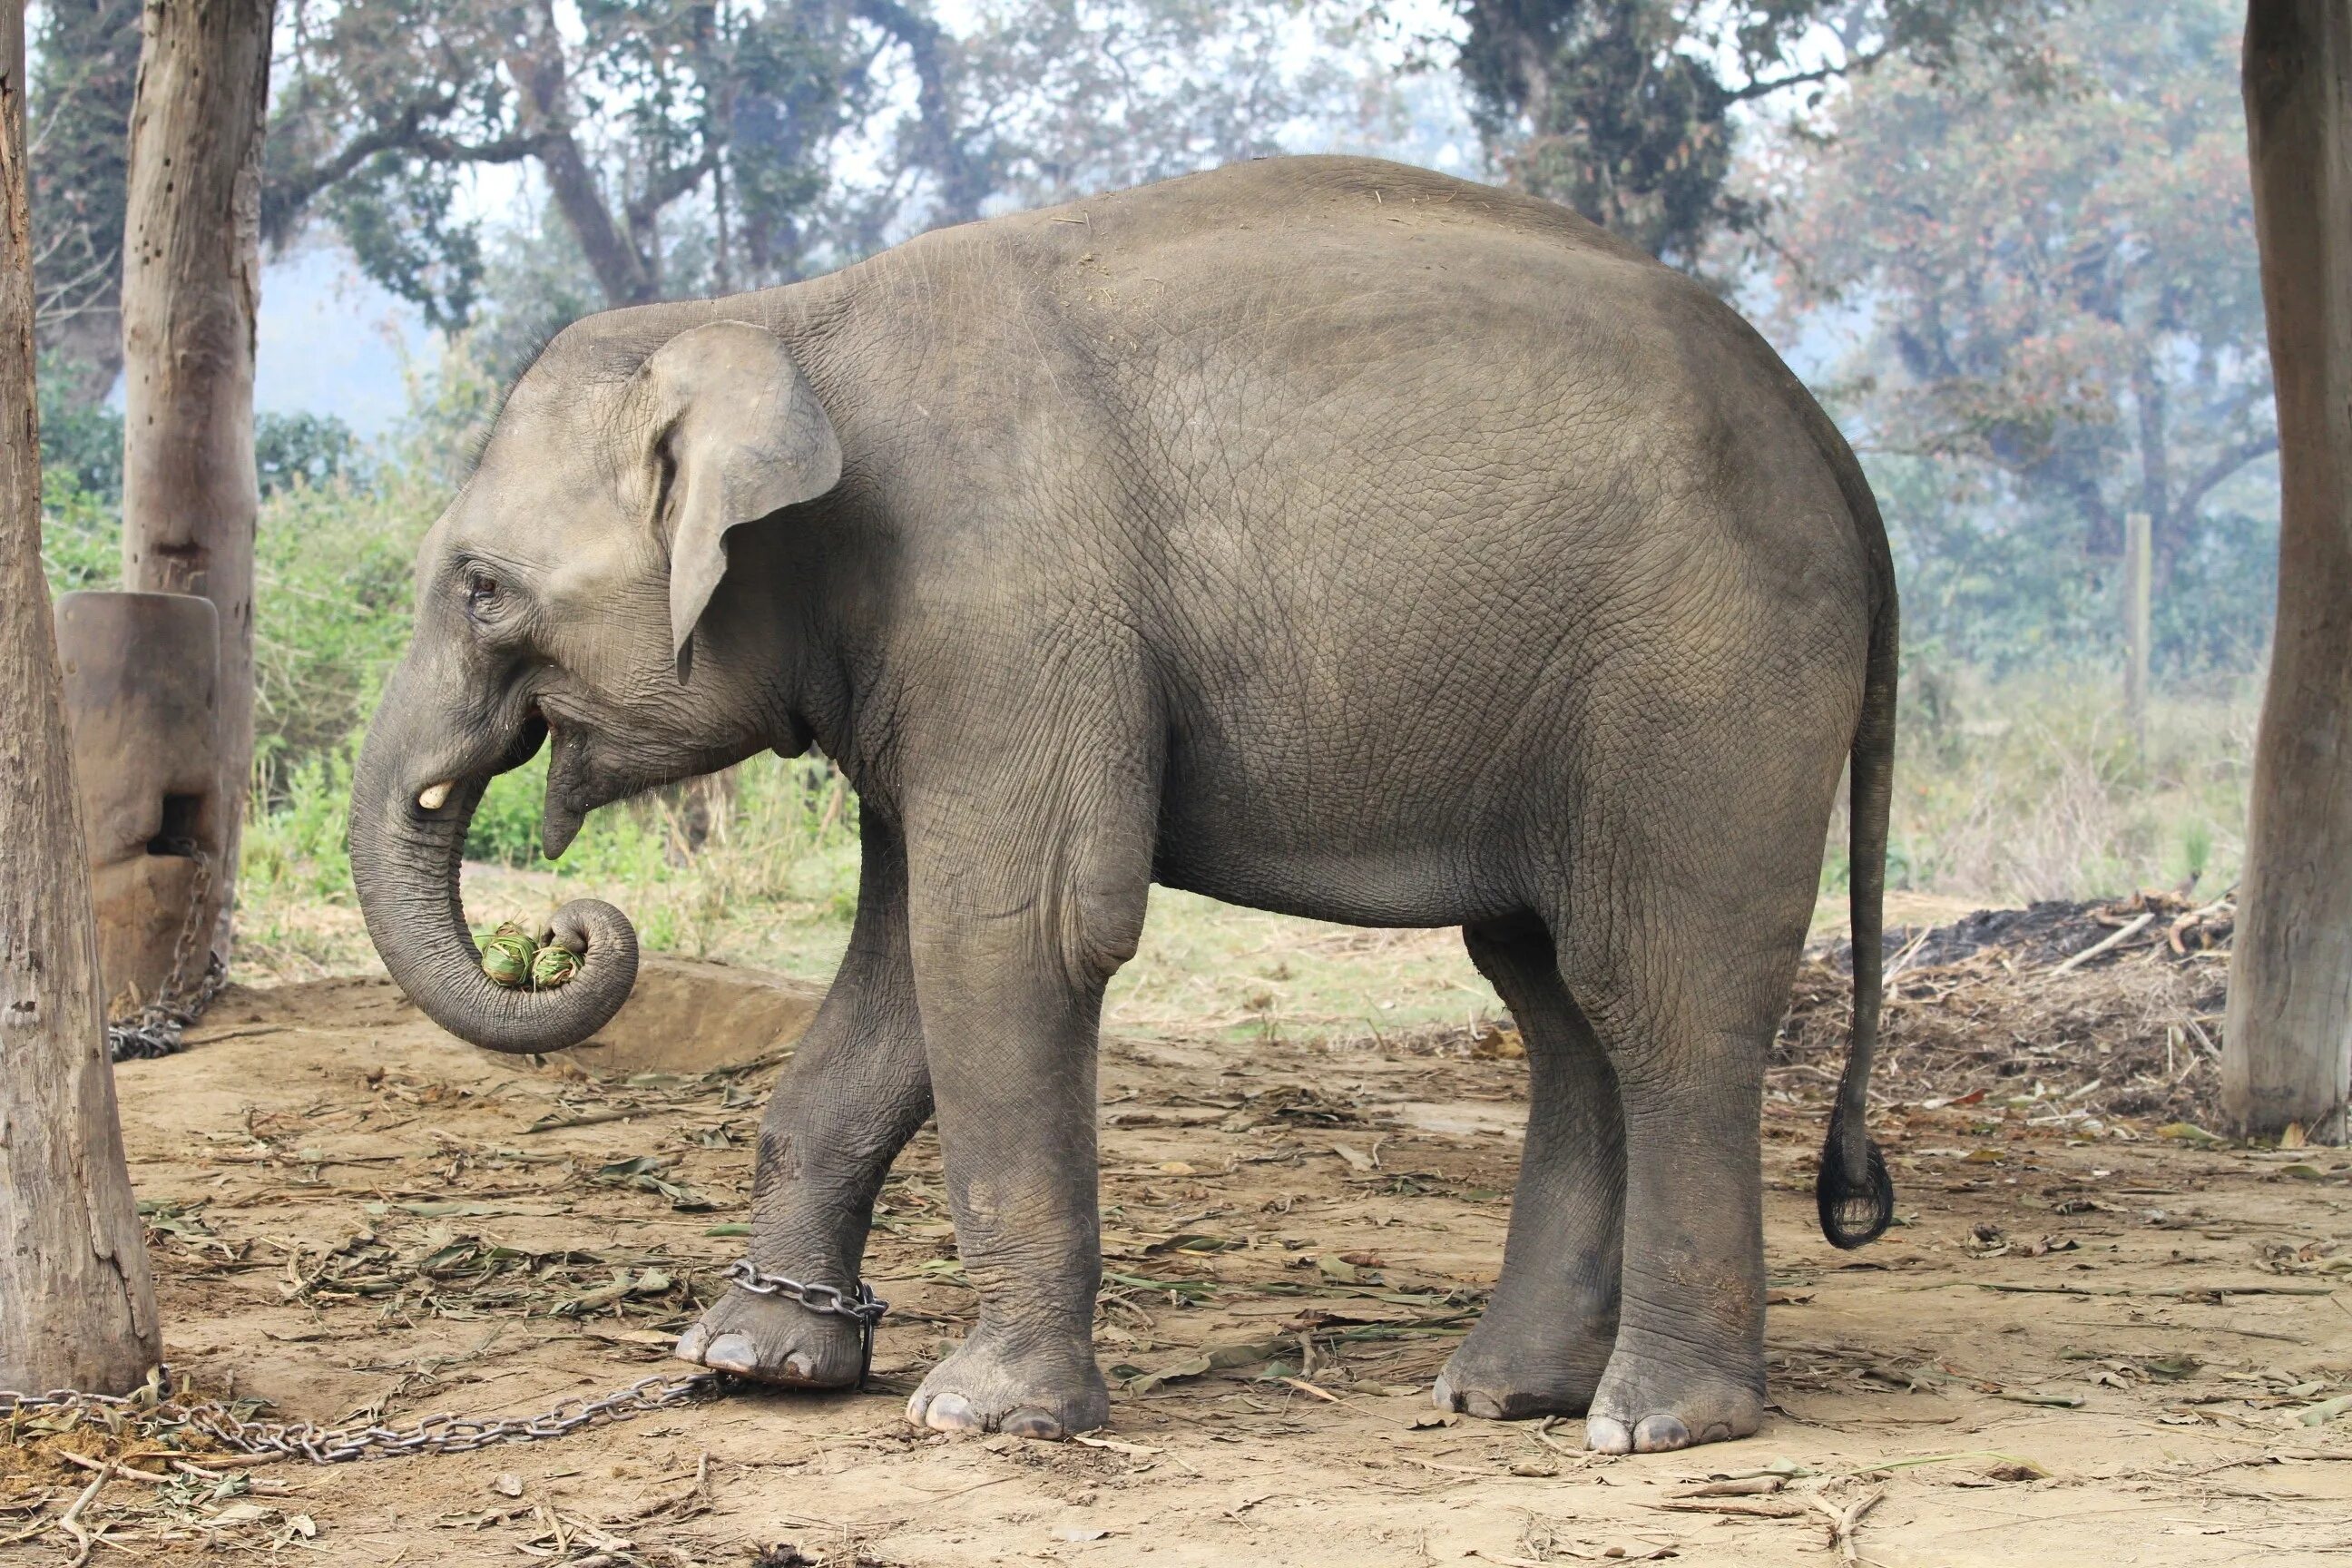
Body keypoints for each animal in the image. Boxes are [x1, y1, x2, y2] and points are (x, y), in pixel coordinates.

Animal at [348, 152, 1890, 1457]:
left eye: (481, 589)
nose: (559, 934)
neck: (790, 318)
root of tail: (1826, 432)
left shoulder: (1012, 604)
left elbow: (1008, 940)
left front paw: (981, 1413)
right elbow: (905, 966)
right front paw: (754, 1360)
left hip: (1704, 678)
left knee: (1657, 989)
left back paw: (1655, 1420)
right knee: (1556, 997)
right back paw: (1507, 1391)